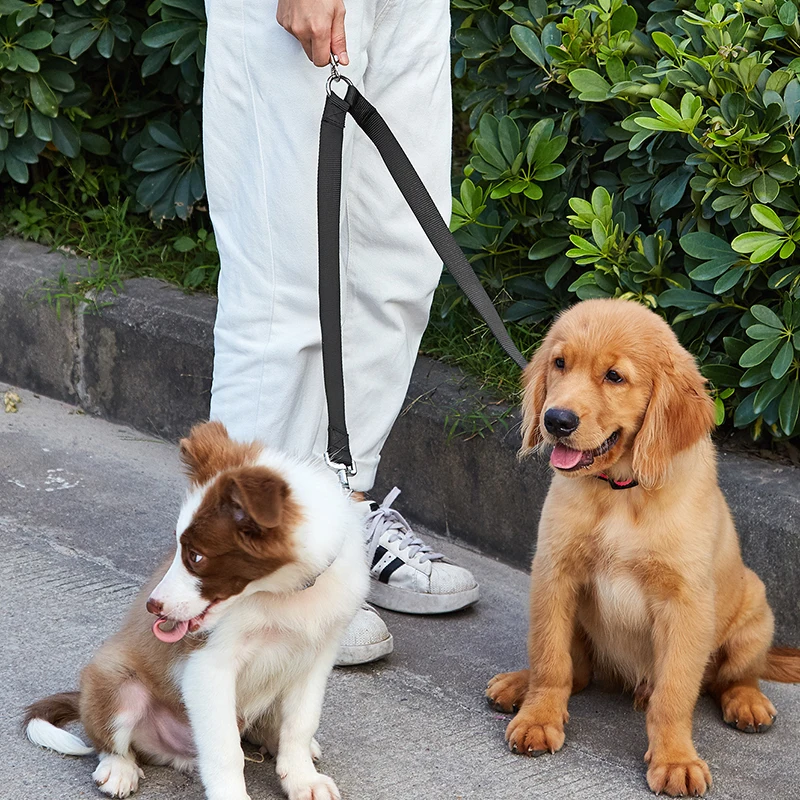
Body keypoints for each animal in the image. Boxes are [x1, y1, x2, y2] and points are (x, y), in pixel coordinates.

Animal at [25, 418, 368, 800]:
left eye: (197, 557)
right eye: (179, 548)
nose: (152, 606)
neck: (285, 594)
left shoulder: (316, 658)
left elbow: (301, 723)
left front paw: (302, 778)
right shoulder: (208, 665)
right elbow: (225, 750)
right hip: (116, 681)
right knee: (111, 740)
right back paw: (118, 768)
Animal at [488, 302, 800, 800]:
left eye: (615, 376)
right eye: (560, 364)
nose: (556, 420)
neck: (621, 490)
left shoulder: (684, 603)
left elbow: (673, 694)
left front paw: (675, 760)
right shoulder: (555, 573)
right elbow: (549, 659)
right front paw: (538, 718)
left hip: (754, 609)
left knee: (735, 676)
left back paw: (748, 702)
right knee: (576, 672)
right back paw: (519, 684)